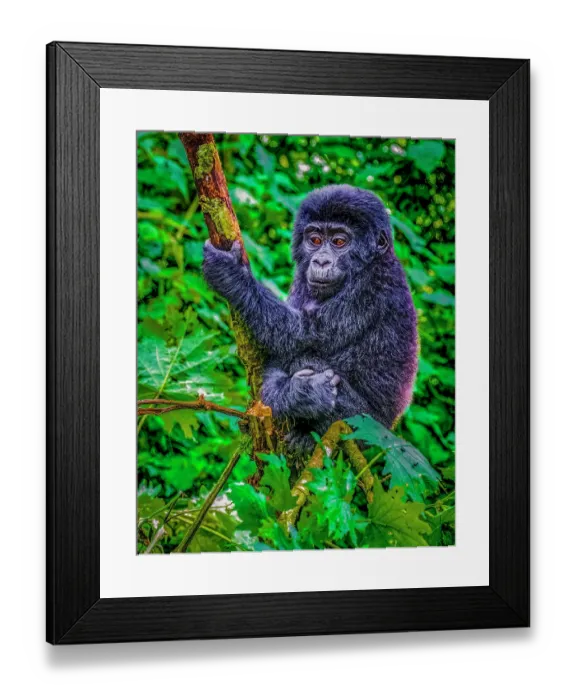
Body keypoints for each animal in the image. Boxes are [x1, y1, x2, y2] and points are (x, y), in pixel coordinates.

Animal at [202, 184, 419, 452]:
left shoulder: (374, 286)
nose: (321, 260)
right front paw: (298, 395)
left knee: (305, 358)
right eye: (315, 240)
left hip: (366, 430)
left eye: (339, 242)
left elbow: (305, 334)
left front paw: (231, 276)